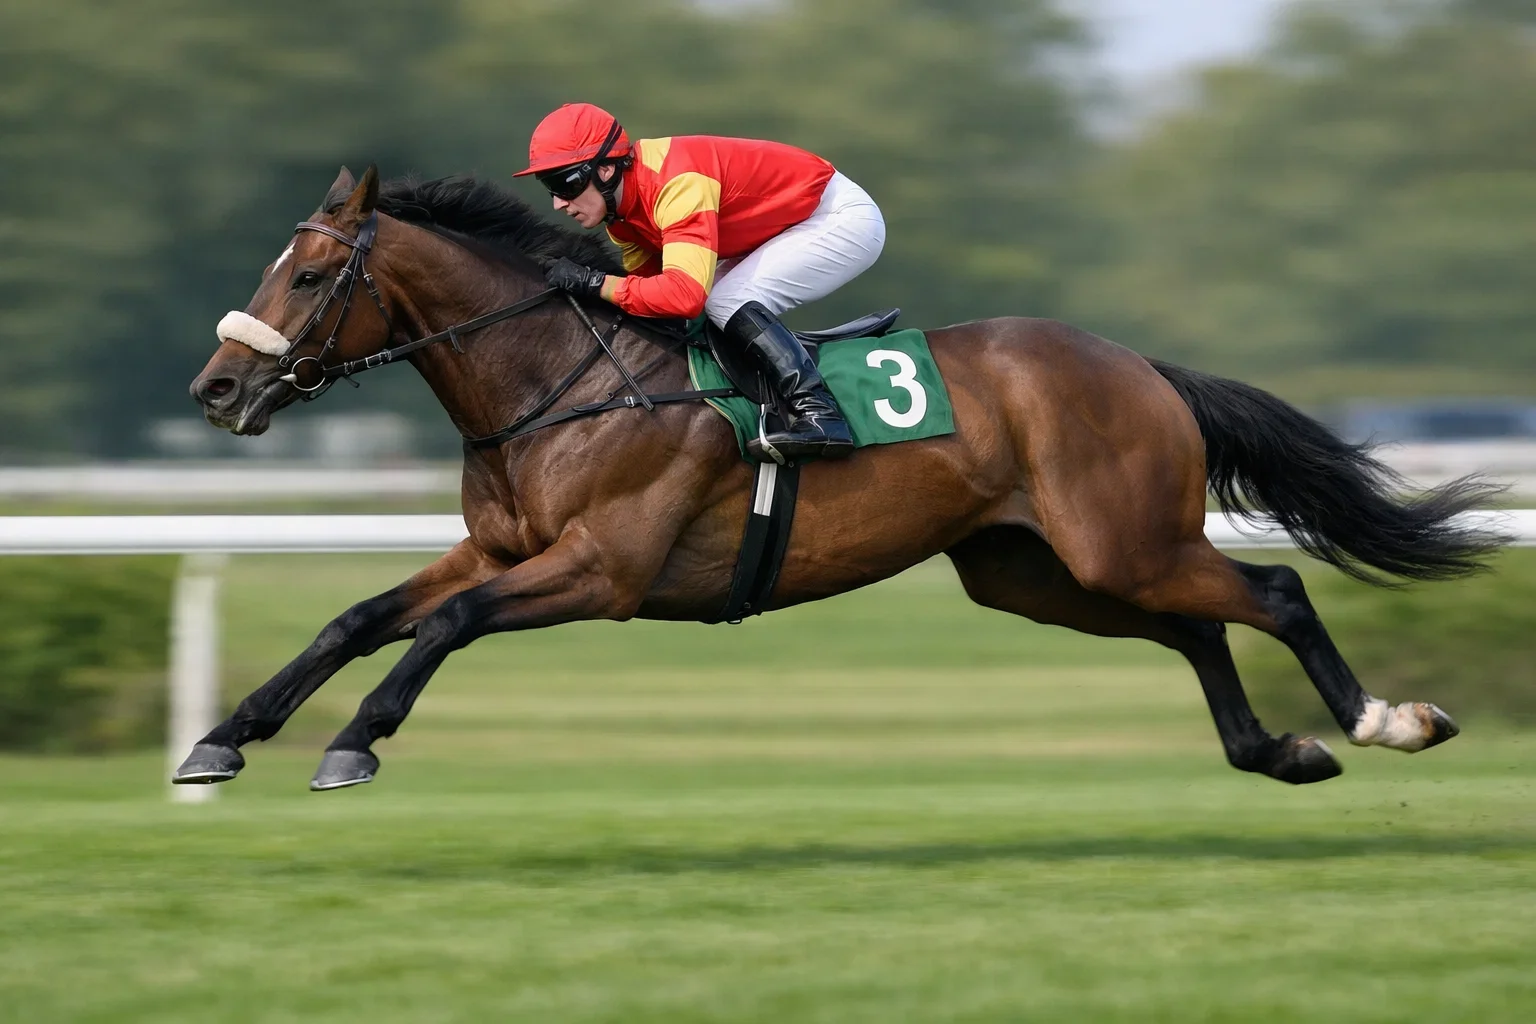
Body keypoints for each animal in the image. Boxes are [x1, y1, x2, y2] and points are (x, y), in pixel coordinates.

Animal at [178, 165, 1505, 792]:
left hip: (1119, 540)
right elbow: (360, 615)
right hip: (1038, 570)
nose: (218, 390)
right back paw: (1277, 749)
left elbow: (442, 627)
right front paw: (223, 737)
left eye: (310, 276)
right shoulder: (499, 548)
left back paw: (1386, 718)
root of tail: (1136, 364)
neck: (556, 374)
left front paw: (353, 744)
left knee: (1273, 593)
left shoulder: (600, 569)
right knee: (1197, 628)